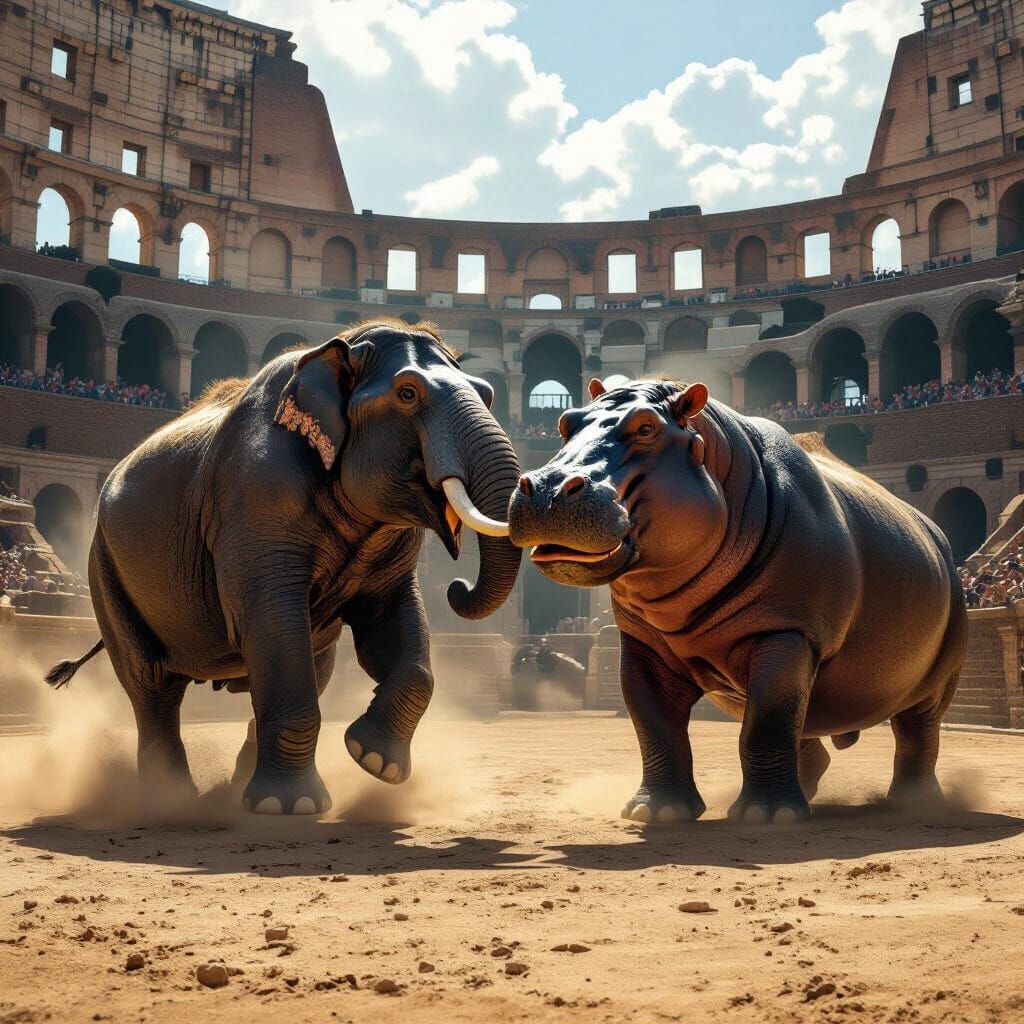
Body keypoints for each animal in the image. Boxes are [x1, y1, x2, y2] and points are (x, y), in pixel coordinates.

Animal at [46, 319, 522, 814]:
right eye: (408, 393)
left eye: (487, 394)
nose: (456, 586)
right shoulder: (257, 496)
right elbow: (273, 621)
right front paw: (292, 806)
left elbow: (394, 624)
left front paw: (374, 761)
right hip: (106, 569)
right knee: (152, 684)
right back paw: (170, 799)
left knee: (312, 662)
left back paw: (236, 789)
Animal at [508, 377, 967, 825]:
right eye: (565, 422)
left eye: (646, 428)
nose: (546, 488)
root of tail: (935, 531)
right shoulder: (643, 644)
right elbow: (653, 722)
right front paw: (656, 812)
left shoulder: (787, 631)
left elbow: (766, 721)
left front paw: (766, 815)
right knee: (807, 729)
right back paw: (806, 797)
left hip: (941, 666)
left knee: (918, 729)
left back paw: (912, 804)